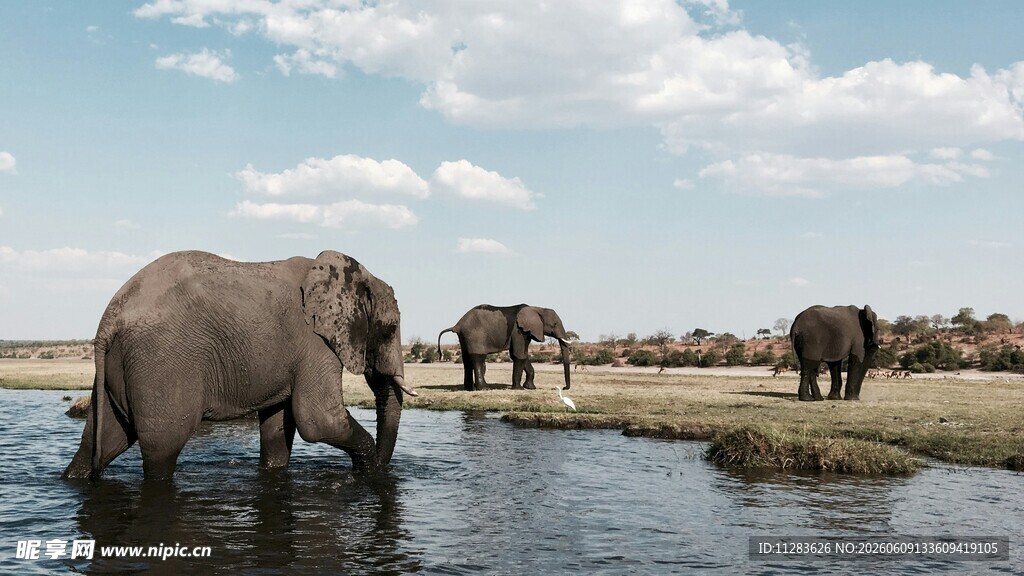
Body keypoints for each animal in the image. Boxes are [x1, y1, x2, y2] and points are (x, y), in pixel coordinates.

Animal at [62, 250, 416, 480]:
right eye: (390, 329)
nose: (386, 469)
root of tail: (109, 317)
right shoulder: (315, 343)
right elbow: (319, 420)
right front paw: (370, 473)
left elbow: (277, 428)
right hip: (160, 363)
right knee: (161, 450)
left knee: (101, 441)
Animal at [437, 304, 572, 391]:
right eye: (554, 324)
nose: (564, 388)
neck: (537, 308)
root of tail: (458, 325)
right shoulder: (519, 330)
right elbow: (519, 355)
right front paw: (519, 389)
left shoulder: (525, 332)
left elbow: (521, 355)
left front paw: (530, 388)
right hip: (475, 334)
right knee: (478, 358)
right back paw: (484, 388)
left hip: (464, 336)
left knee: (466, 359)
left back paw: (469, 389)